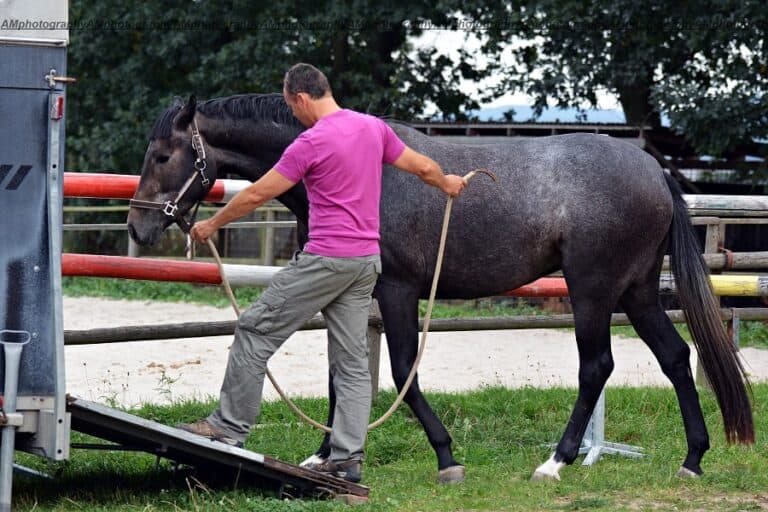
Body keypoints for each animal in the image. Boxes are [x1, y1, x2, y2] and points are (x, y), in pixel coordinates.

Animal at [127, 93, 753, 483]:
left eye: (162, 154)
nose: (138, 227)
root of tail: (653, 171)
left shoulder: (398, 290)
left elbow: (402, 371)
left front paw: (446, 455)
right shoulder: (348, 293)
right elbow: (339, 374)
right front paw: (325, 455)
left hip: (594, 289)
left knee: (596, 366)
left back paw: (556, 462)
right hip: (637, 290)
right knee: (675, 357)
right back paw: (692, 459)